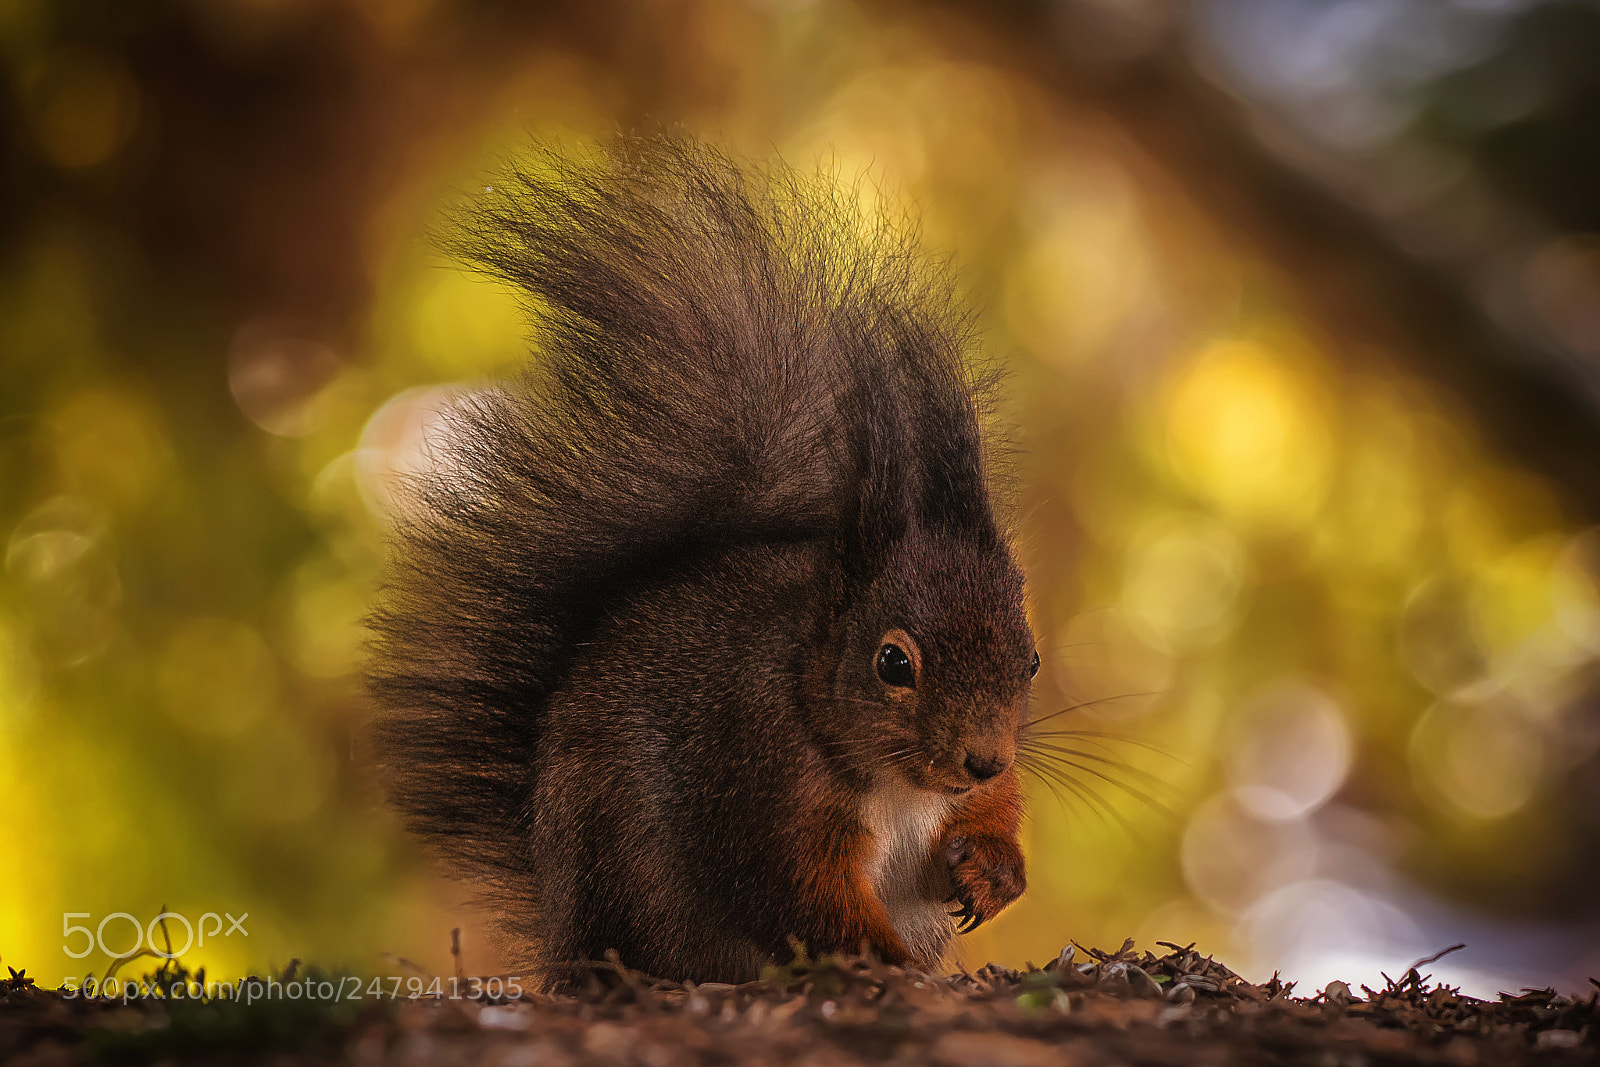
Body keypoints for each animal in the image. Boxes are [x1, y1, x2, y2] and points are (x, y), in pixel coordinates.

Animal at [367, 137, 1038, 986]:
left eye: (1032, 661)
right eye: (893, 662)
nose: (983, 757)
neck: (899, 786)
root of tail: (560, 930)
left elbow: (994, 815)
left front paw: (992, 870)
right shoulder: (758, 783)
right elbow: (795, 896)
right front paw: (882, 961)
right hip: (622, 870)